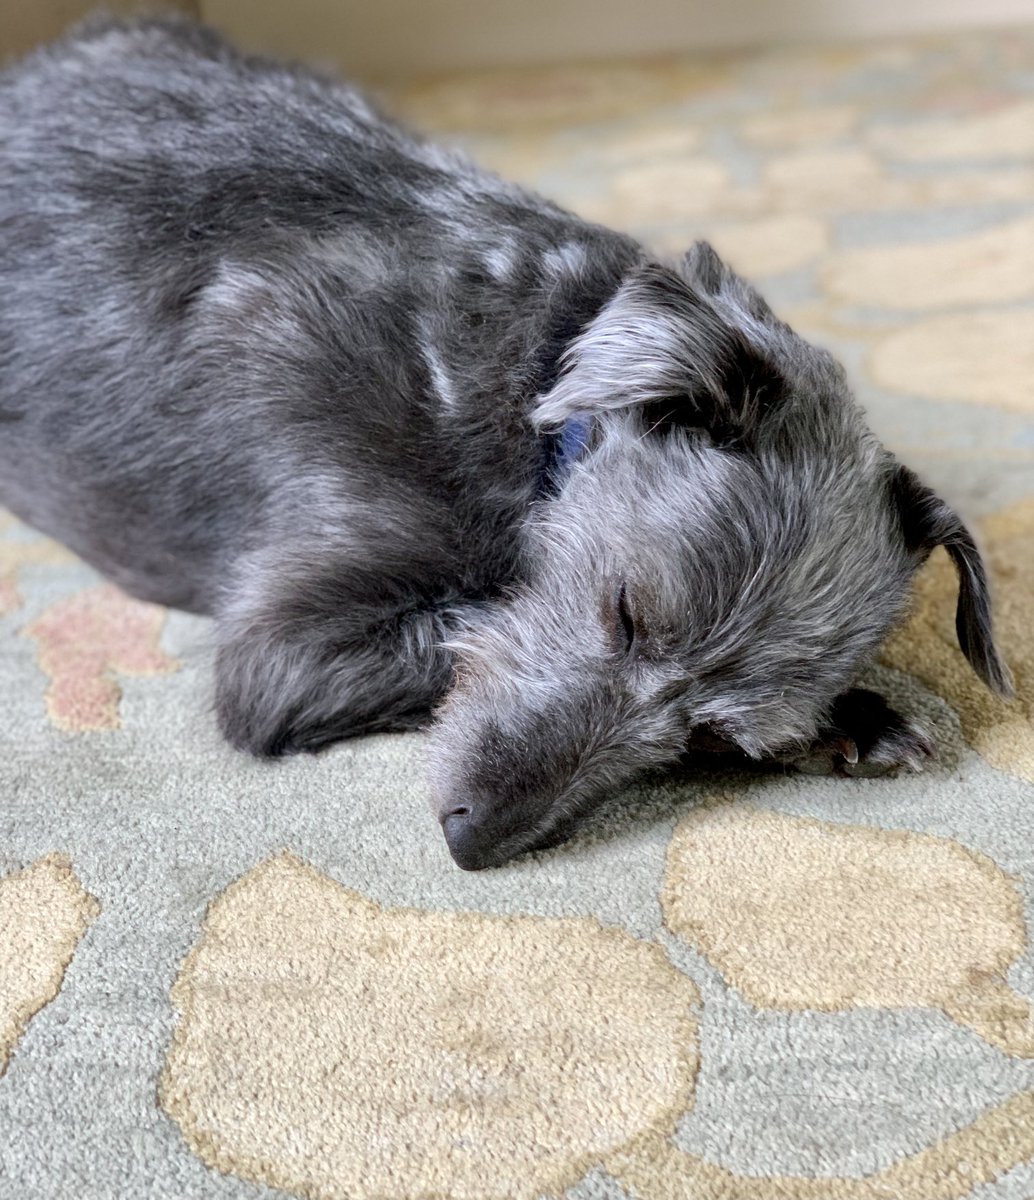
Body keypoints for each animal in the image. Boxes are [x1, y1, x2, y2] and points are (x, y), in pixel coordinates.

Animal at [0, 14, 1012, 868]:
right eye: (628, 610)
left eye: (715, 739)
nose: (473, 840)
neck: (539, 401)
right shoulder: (282, 657)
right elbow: (462, 619)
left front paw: (856, 717)